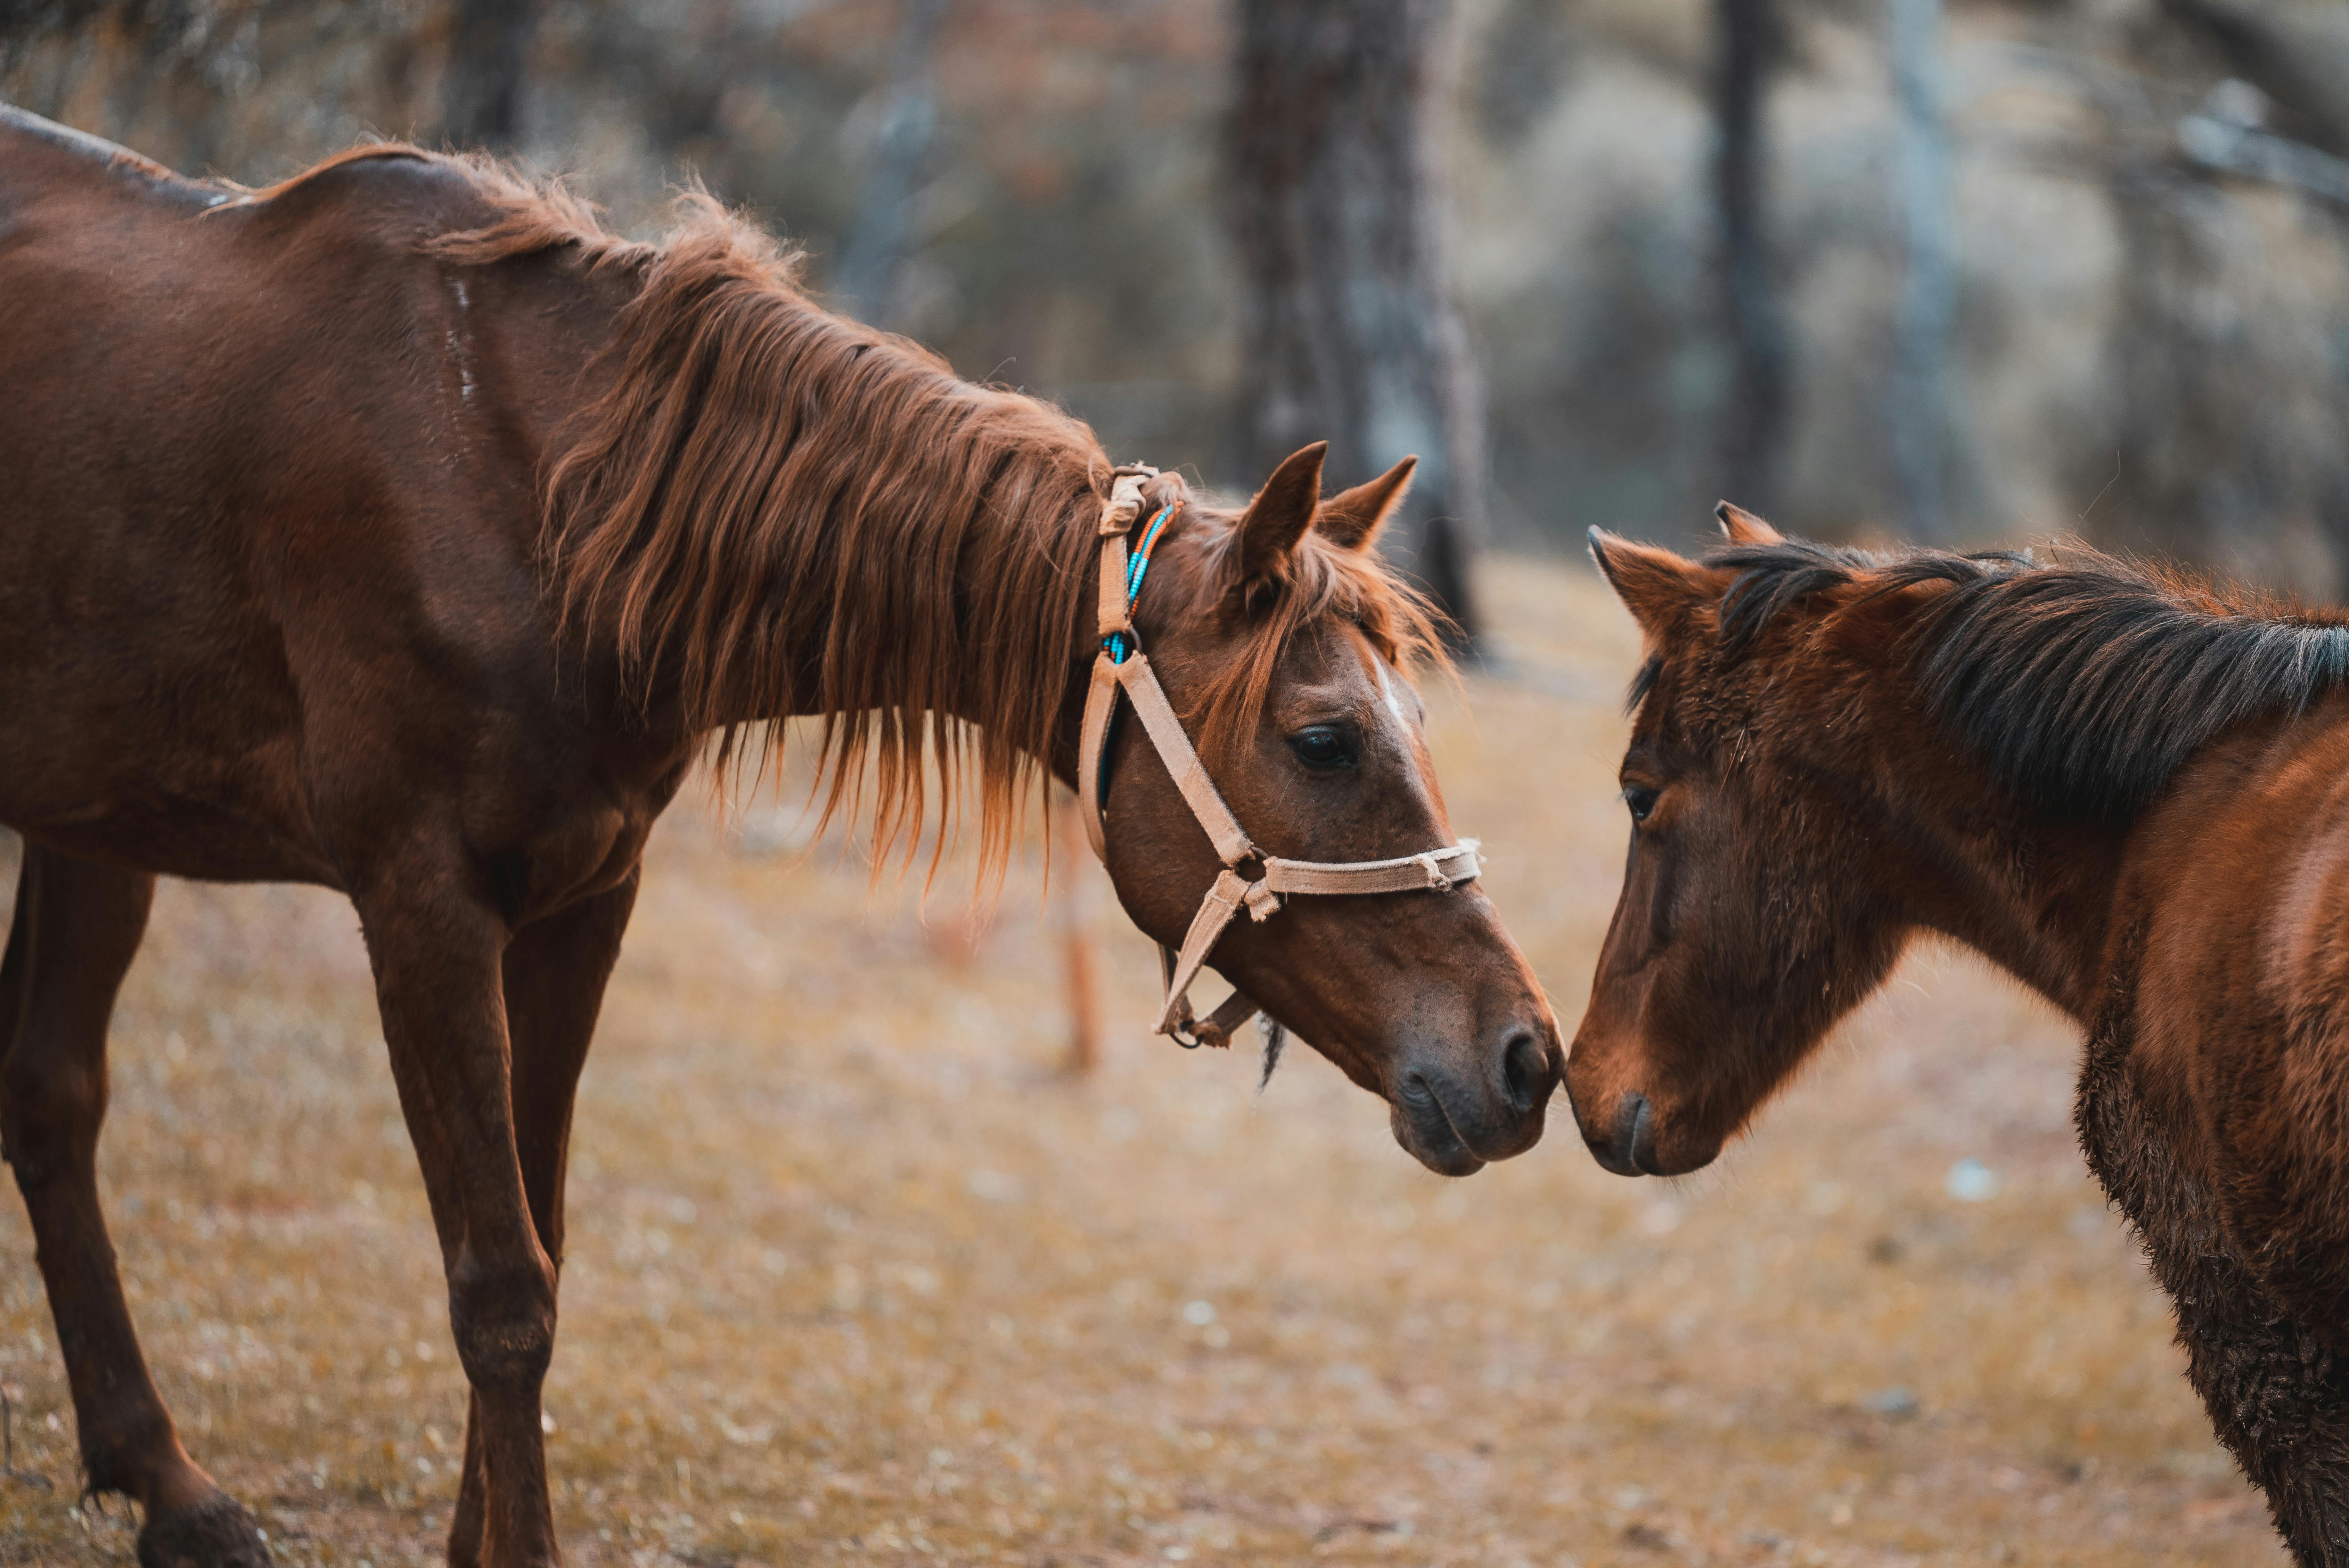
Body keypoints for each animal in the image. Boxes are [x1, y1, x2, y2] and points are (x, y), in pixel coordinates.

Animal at [5, 110, 1578, 1568]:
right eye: (1325, 741)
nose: (1526, 1058)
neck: (530, 493)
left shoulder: (583, 898)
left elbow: (541, 1240)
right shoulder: (422, 904)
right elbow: (500, 1286)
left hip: (97, 820)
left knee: (54, 1096)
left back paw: (172, 1490)